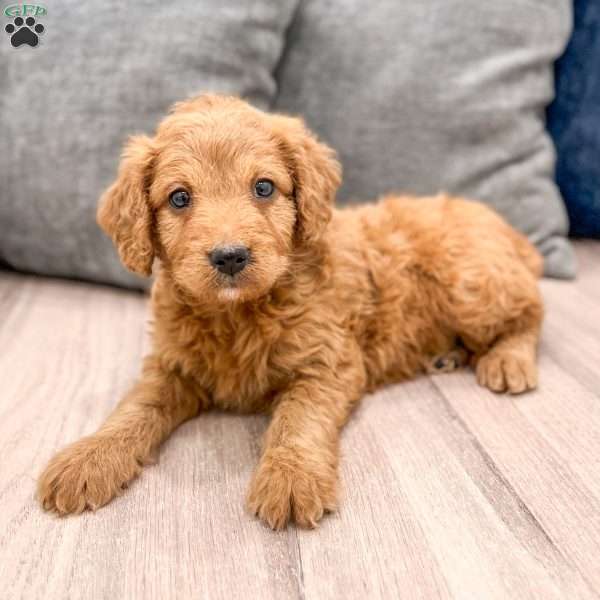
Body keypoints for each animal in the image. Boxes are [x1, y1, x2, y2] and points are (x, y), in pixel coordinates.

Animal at [37, 91, 544, 528]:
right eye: (179, 197)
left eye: (264, 188)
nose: (230, 256)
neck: (239, 314)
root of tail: (507, 229)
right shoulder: (171, 365)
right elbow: (134, 407)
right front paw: (89, 456)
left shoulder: (328, 362)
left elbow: (298, 420)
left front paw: (292, 477)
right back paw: (447, 356)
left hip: (473, 285)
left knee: (532, 310)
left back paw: (508, 361)